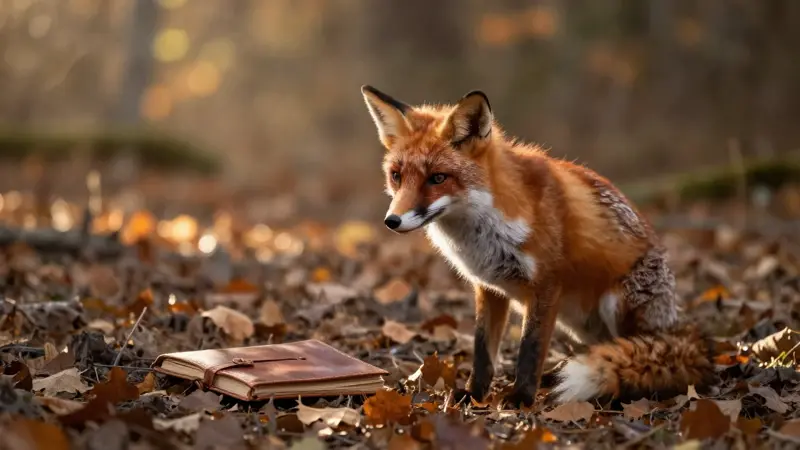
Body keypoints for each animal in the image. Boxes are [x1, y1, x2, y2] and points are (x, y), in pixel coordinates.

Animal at [359, 85, 717, 408]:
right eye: (396, 176)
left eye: (437, 178)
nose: (392, 221)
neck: (483, 227)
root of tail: (677, 325)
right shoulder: (488, 287)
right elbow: (482, 351)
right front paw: (475, 394)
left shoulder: (546, 285)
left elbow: (529, 349)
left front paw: (520, 398)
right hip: (579, 322)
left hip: (617, 303)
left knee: (632, 351)